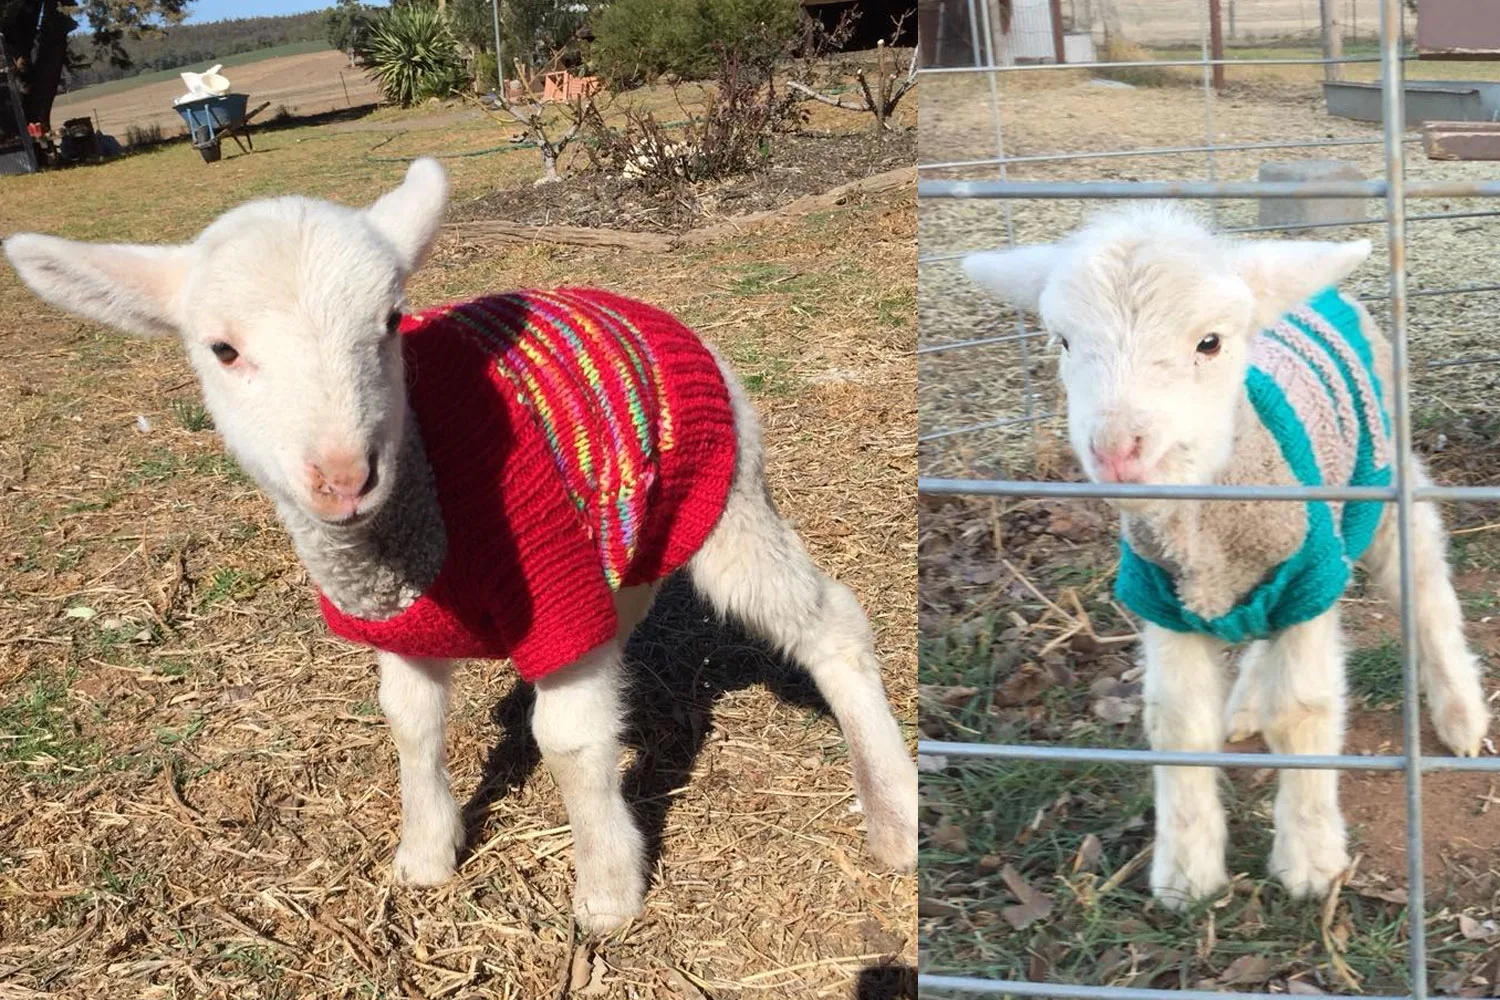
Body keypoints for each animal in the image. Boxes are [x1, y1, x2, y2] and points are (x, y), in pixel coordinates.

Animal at [2, 158, 918, 933]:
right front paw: (425, 854)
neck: (411, 522)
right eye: (222, 350)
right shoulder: (399, 622)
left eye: (390, 321)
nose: (344, 476)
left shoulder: (553, 592)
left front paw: (606, 894)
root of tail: (649, 310)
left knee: (829, 623)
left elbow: (567, 740)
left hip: (728, 494)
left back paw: (895, 812)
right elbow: (410, 721)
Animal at [963, 203, 1490, 908]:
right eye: (1065, 342)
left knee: (1426, 585)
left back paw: (1460, 714)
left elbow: (1302, 711)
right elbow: (1178, 723)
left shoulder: (1310, 577)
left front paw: (1310, 860)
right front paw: (1187, 874)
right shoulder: (1164, 594)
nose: (1117, 450)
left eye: (1209, 343)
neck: (1207, 536)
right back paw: (1243, 706)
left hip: (1380, 482)